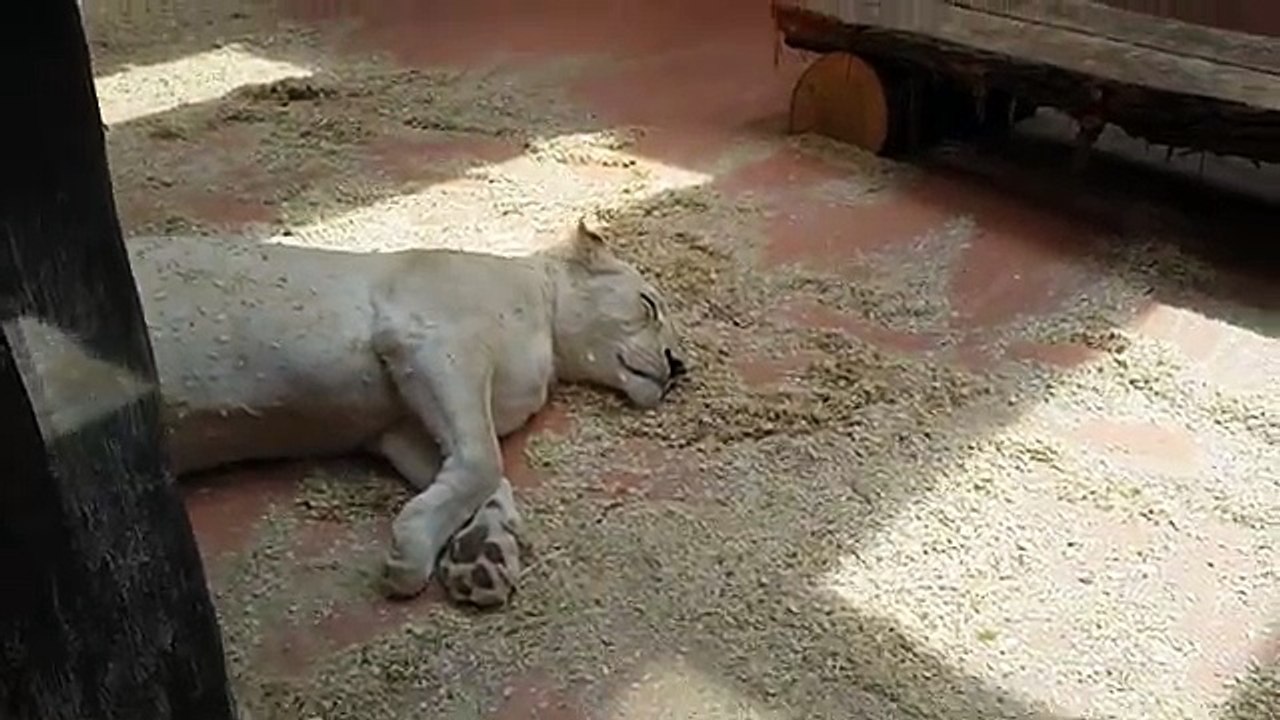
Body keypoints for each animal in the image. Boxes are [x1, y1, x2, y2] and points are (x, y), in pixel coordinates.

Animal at [127, 219, 686, 608]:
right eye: (648, 305)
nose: (680, 366)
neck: (545, 321)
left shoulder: (402, 426)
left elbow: (482, 477)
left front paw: (482, 558)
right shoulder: (434, 341)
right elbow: (485, 462)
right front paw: (411, 556)